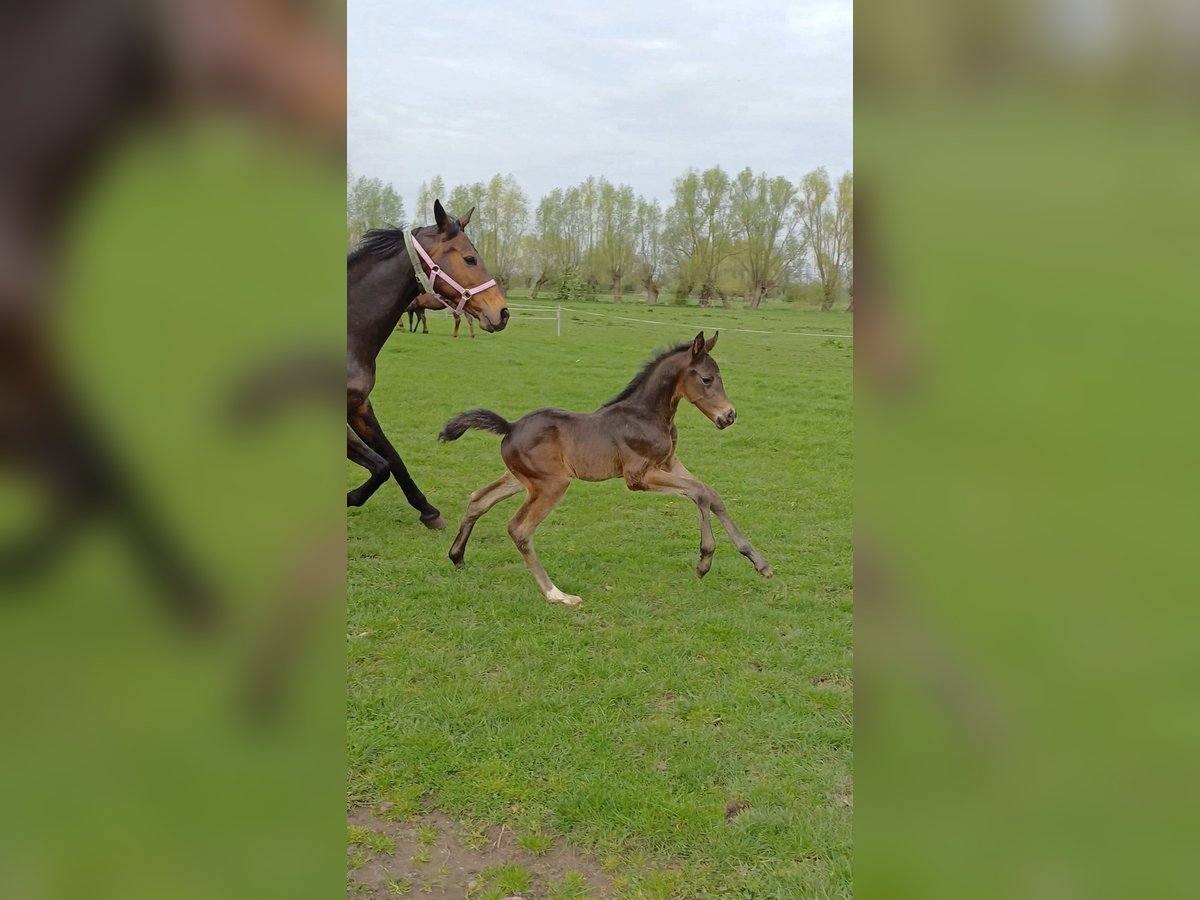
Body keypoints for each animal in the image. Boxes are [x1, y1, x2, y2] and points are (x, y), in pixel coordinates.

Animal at [350, 202, 511, 528]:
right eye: (470, 258)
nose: (502, 313)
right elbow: (381, 465)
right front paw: (350, 498)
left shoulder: (359, 406)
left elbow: (391, 459)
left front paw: (428, 510)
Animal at [439, 331, 768, 607]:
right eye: (708, 379)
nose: (729, 416)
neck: (646, 415)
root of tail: (510, 426)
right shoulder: (638, 476)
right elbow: (699, 492)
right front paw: (704, 561)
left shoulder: (669, 462)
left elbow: (711, 493)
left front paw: (759, 561)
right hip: (552, 484)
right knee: (519, 528)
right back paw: (557, 595)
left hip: (521, 480)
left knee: (479, 499)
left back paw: (457, 557)